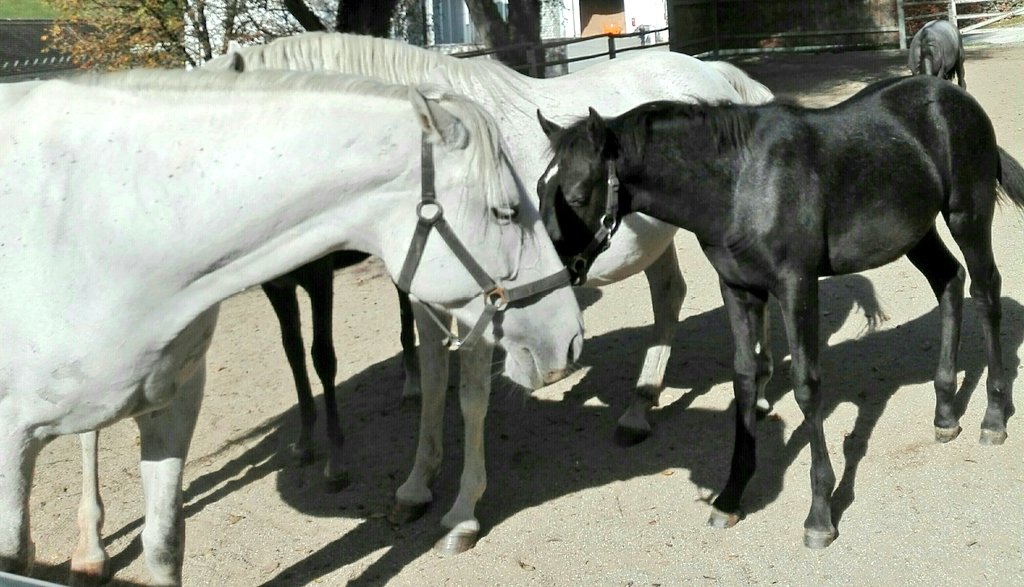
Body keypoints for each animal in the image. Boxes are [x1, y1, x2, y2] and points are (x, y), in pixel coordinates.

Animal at [536, 74, 1024, 548]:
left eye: (577, 196)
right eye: (540, 194)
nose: (557, 276)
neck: (740, 183)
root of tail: (954, 96)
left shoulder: (796, 286)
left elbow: (807, 387)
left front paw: (820, 514)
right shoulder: (738, 289)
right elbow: (745, 379)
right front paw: (730, 497)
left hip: (966, 216)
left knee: (985, 293)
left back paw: (994, 416)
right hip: (916, 232)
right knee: (948, 282)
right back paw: (945, 414)